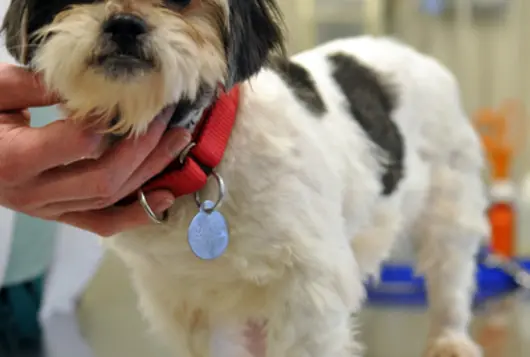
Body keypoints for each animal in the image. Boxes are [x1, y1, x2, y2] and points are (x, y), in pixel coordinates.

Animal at [2, 0, 486, 356]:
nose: (123, 23)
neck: (202, 159)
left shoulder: (309, 288)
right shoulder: (191, 301)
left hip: (450, 197)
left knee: (450, 271)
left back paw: (450, 339)